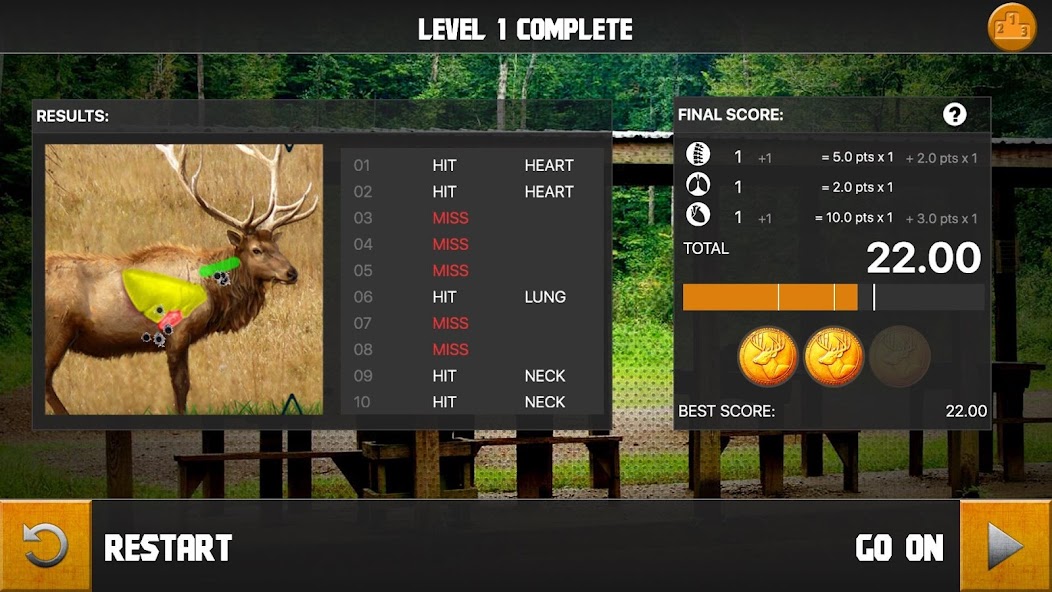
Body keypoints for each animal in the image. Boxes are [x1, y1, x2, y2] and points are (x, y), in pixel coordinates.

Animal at [44, 144, 318, 415]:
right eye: (256, 250)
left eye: (276, 245)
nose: (292, 272)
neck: (212, 291)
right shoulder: (177, 332)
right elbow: (181, 385)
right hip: (57, 329)